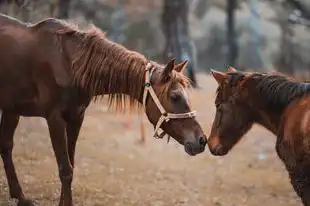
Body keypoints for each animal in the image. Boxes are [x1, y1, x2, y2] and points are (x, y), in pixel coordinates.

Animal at [0, 13, 208, 205]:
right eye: (175, 97)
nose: (201, 140)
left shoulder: (76, 117)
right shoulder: (55, 119)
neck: (69, 63)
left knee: (6, 146)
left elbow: (70, 164)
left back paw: (20, 197)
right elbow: (65, 169)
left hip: (12, 109)